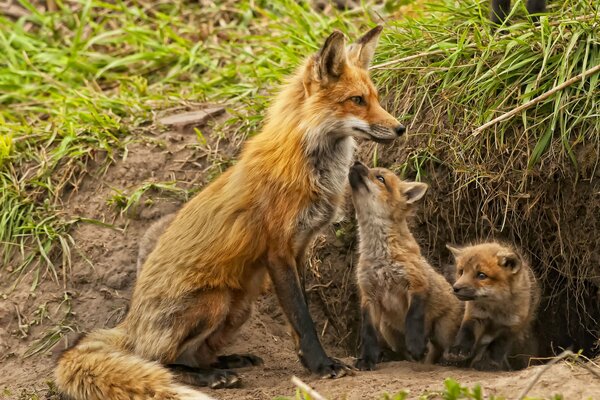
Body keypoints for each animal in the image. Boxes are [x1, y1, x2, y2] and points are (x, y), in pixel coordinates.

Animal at [56, 26, 406, 398]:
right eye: (357, 100)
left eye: (376, 98)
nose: (401, 128)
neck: (306, 164)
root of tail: (130, 323)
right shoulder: (277, 251)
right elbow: (302, 318)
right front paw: (322, 364)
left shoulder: (299, 248)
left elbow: (301, 316)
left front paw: (310, 361)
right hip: (214, 301)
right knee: (159, 360)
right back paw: (209, 377)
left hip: (239, 307)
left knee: (192, 354)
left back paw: (227, 362)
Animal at [350, 164, 462, 370]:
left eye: (380, 178)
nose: (356, 163)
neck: (381, 255)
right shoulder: (368, 295)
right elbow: (368, 333)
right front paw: (367, 359)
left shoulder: (416, 284)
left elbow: (413, 318)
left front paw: (416, 345)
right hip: (387, 329)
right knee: (403, 353)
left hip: (442, 329)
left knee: (441, 350)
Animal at [446, 242, 540, 370]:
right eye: (461, 272)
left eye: (481, 275)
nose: (455, 288)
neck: (495, 309)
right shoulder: (474, 315)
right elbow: (466, 333)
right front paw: (458, 350)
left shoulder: (512, 325)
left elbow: (498, 346)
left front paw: (488, 362)